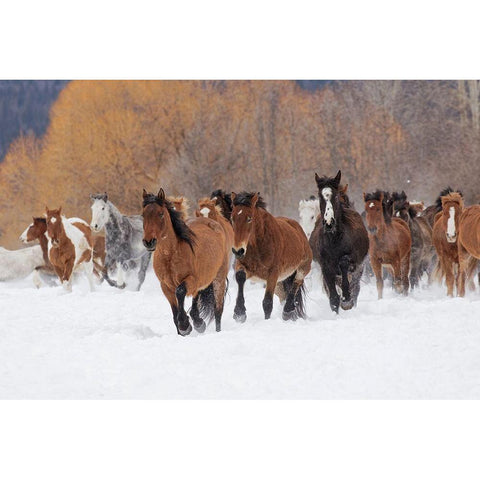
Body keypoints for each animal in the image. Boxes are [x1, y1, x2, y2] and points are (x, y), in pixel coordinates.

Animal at [142, 187, 230, 334]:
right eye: (143, 215)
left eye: (161, 214)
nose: (149, 242)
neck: (170, 255)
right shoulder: (165, 286)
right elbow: (175, 311)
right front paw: (183, 329)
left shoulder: (191, 279)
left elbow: (180, 291)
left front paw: (185, 324)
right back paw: (198, 322)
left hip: (219, 278)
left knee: (218, 310)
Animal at [231, 191, 314, 322]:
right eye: (232, 218)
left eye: (249, 218)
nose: (238, 250)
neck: (258, 246)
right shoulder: (243, 266)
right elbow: (240, 277)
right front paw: (239, 313)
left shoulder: (273, 274)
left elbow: (267, 303)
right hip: (280, 283)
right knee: (284, 295)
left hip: (303, 268)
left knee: (296, 284)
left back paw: (288, 311)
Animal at [310, 171, 370, 314]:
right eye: (320, 197)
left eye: (336, 196)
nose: (329, 223)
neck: (335, 240)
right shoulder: (325, 267)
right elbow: (333, 298)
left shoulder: (354, 262)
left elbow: (344, 265)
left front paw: (347, 300)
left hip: (359, 268)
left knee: (355, 287)